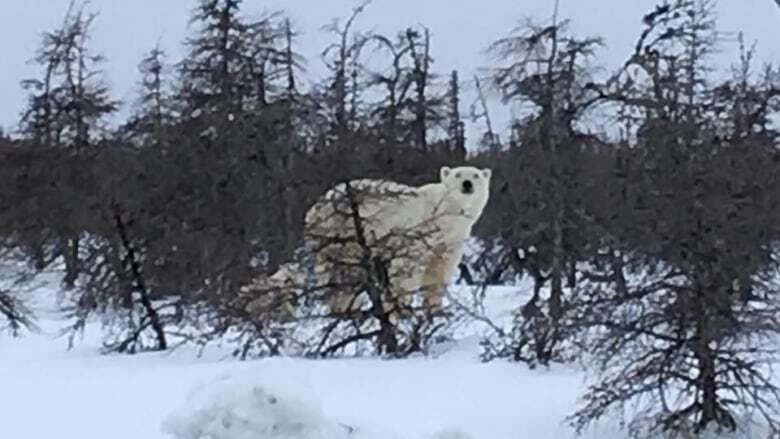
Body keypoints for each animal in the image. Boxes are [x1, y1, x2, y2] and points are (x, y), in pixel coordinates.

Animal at [302, 167, 490, 318]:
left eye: (476, 175)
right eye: (458, 175)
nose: (467, 184)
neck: (443, 215)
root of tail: (316, 206)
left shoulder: (451, 240)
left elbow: (438, 270)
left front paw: (438, 311)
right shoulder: (418, 230)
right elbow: (408, 267)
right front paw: (403, 310)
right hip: (339, 228)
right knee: (344, 269)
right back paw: (348, 310)